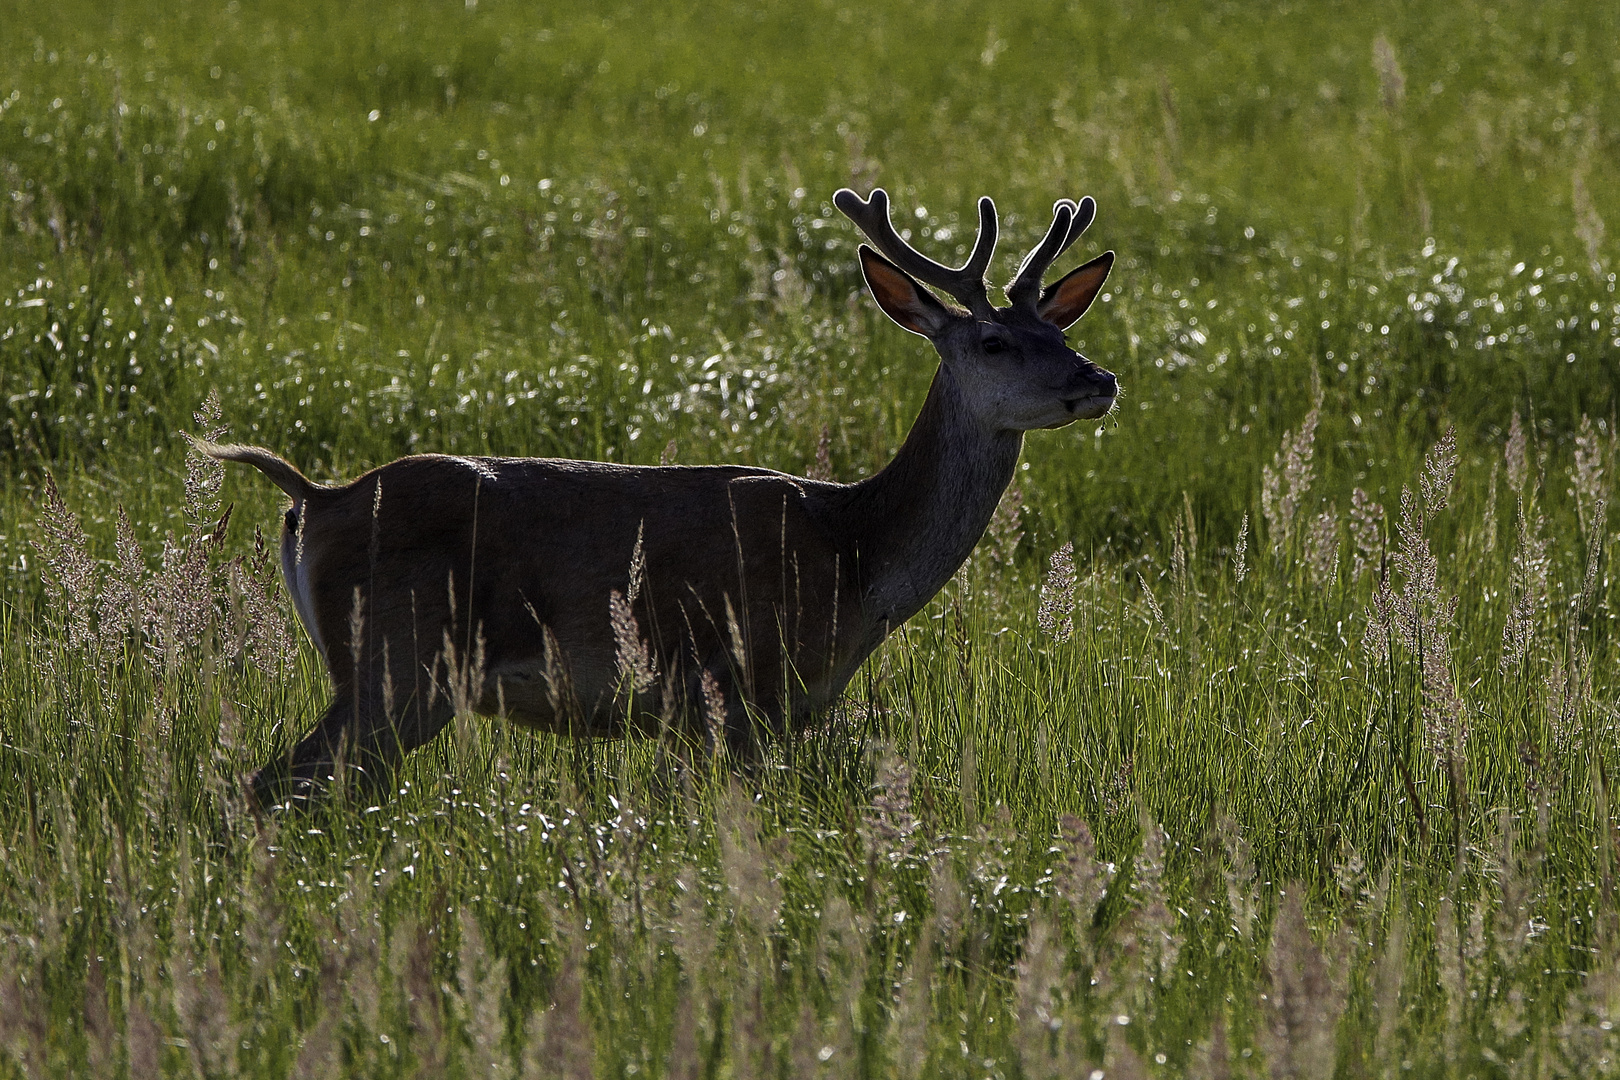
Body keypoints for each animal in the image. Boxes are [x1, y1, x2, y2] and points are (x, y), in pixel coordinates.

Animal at [199, 187, 1114, 809]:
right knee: (268, 786)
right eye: (994, 341)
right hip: (392, 661)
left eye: (1061, 331)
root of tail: (316, 500)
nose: (1099, 380)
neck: (855, 554)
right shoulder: (741, 691)